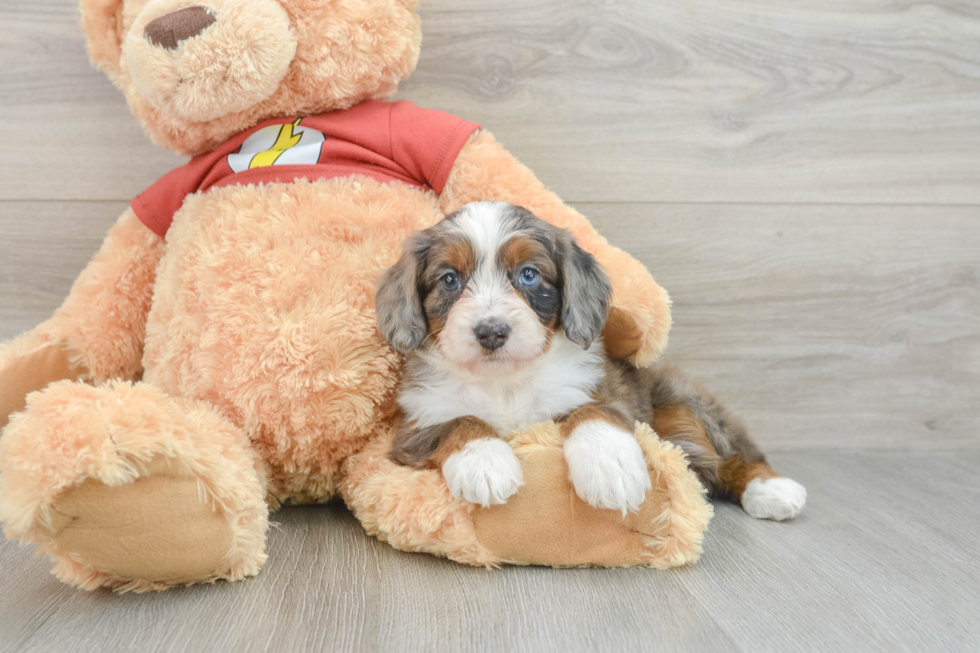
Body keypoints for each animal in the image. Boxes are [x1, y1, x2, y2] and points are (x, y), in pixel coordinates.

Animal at [374, 201, 804, 516]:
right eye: (450, 279)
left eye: (529, 275)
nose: (492, 331)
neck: (504, 382)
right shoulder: (415, 426)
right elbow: (458, 422)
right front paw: (485, 462)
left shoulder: (600, 392)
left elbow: (593, 411)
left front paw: (610, 466)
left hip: (683, 402)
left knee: (733, 455)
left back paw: (772, 489)